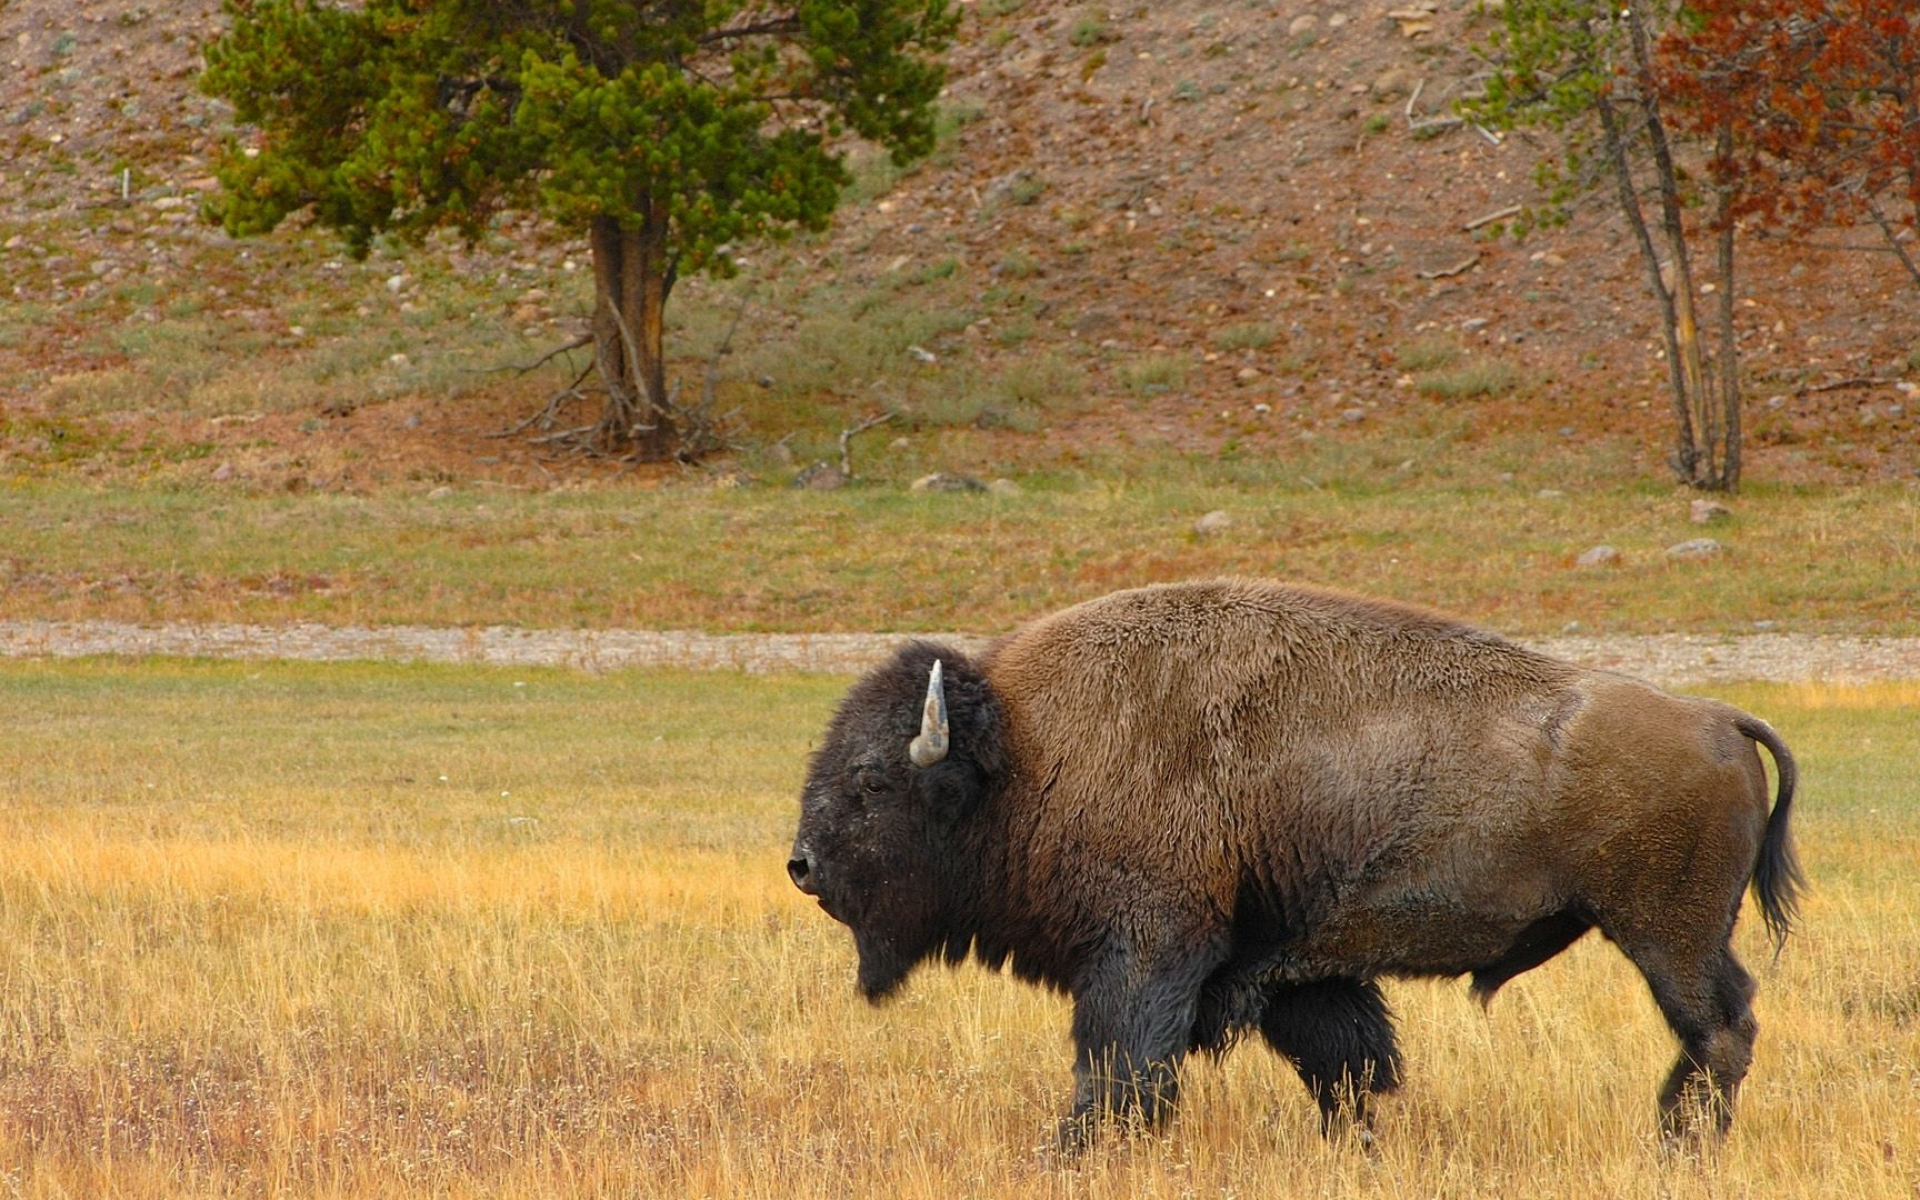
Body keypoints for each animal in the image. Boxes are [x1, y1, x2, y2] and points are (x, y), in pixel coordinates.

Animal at [783, 583, 1797, 1144]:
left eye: (872, 780)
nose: (801, 866)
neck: (1028, 750)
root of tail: (1715, 716)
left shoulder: (1146, 952)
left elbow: (1119, 1072)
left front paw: (1071, 1152)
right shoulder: (1294, 972)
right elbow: (1347, 1069)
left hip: (1666, 935)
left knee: (1721, 1028)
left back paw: (1678, 1143)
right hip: (1675, 935)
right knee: (1724, 1029)